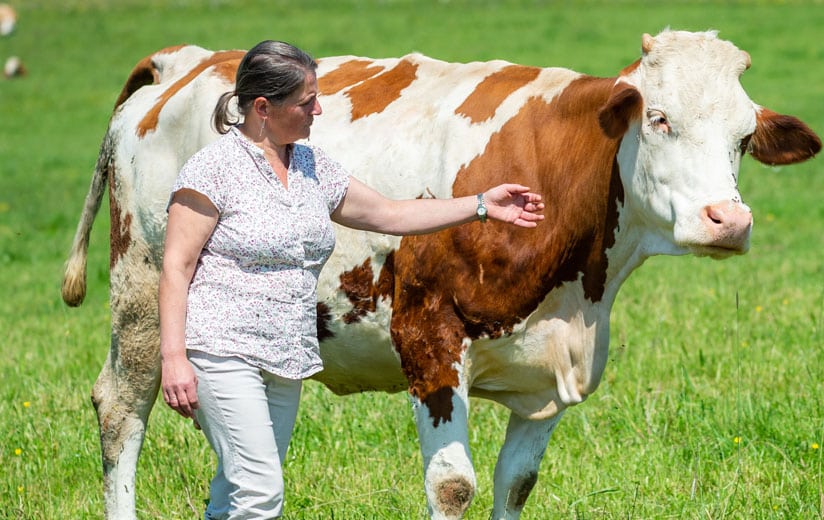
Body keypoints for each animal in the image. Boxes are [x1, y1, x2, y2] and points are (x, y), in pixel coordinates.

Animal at [62, 32, 816, 520]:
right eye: (658, 119)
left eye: (744, 137)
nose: (728, 221)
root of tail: (187, 61)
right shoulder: (427, 339)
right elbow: (453, 487)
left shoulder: (548, 375)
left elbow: (516, 484)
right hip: (143, 293)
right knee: (121, 409)